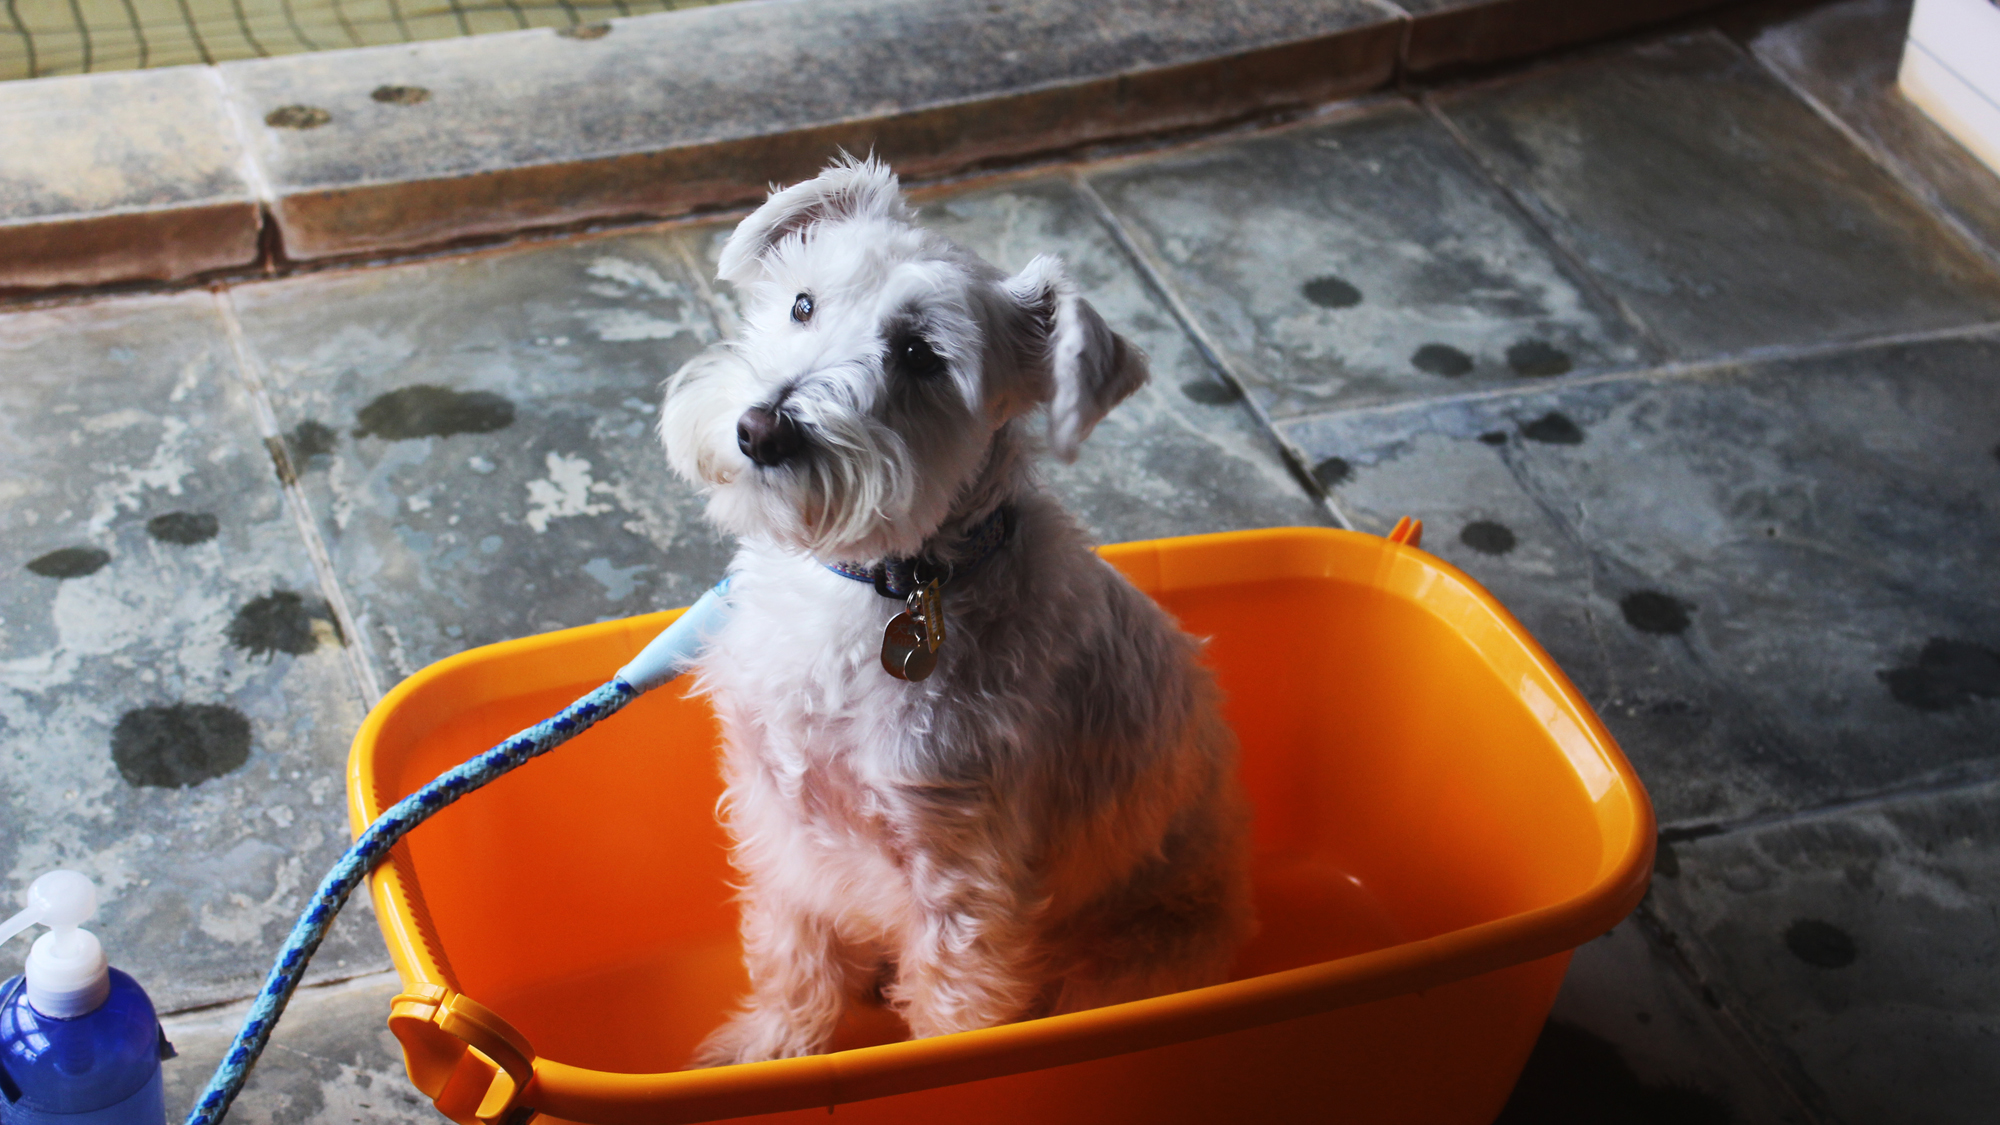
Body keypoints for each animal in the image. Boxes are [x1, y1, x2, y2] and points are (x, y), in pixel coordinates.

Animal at [656, 155, 1248, 1056]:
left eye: (920, 354)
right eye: (803, 302)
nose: (762, 429)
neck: (878, 585)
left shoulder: (962, 876)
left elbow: (951, 1011)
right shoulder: (781, 822)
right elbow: (793, 954)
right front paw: (770, 1048)